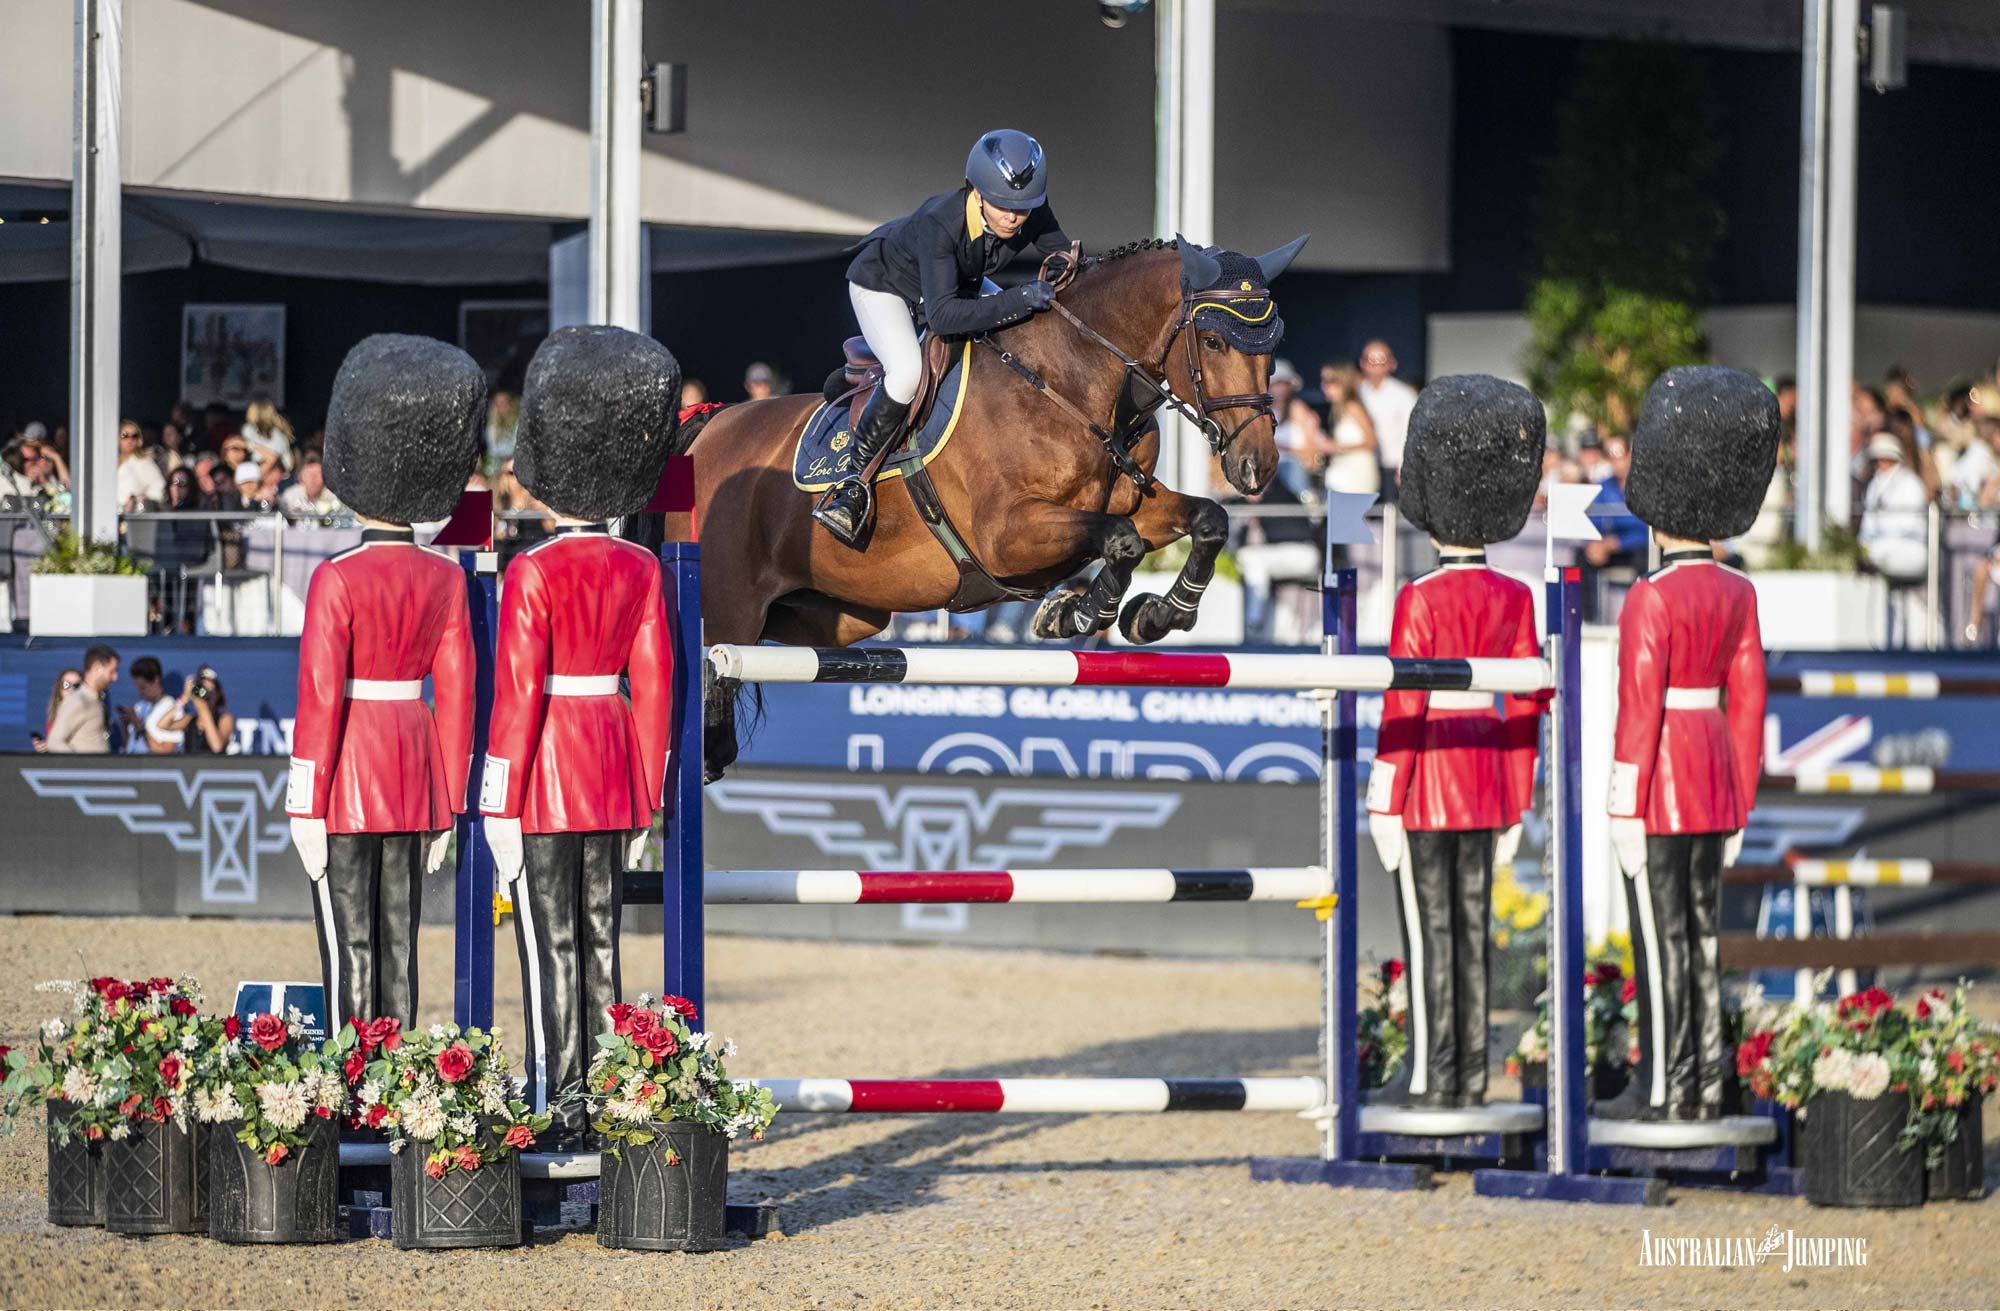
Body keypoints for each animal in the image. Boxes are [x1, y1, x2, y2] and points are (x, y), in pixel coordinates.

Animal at [684, 232, 1312, 779]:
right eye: (1214, 342)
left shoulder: (1140, 505)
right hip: (731, 611)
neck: (1075, 385)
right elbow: (1120, 540)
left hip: (835, 615)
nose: (1257, 467)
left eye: (1274, 345)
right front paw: (1082, 612)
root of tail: (706, 428)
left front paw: (1157, 614)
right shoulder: (1006, 538)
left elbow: (1206, 521)